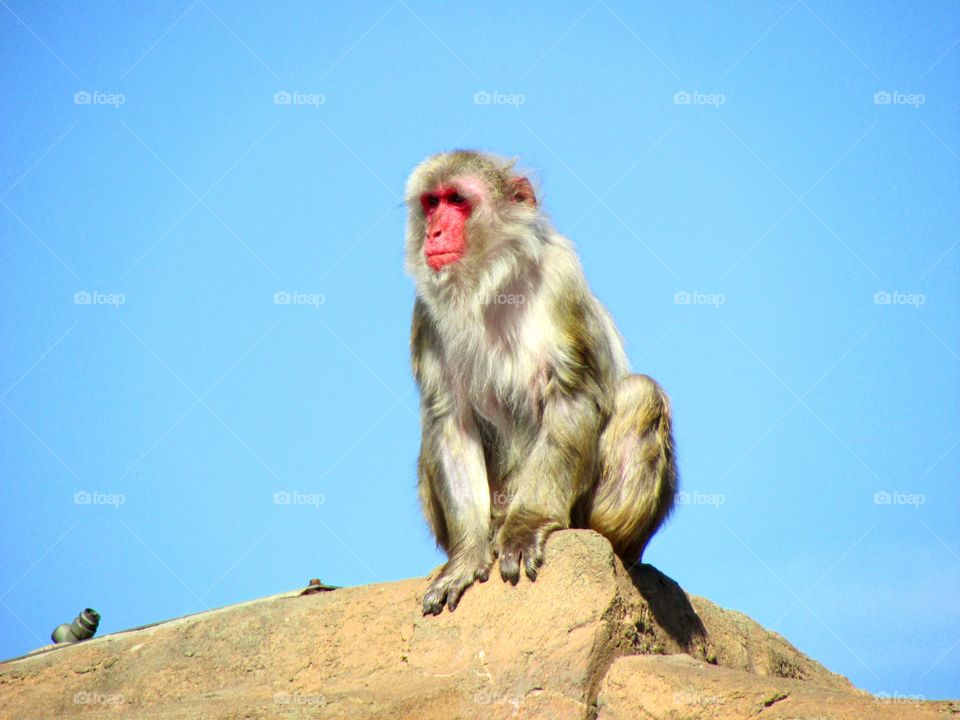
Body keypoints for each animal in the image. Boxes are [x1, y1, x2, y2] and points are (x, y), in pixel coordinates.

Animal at [404, 150, 676, 612]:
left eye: (457, 200)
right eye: (431, 202)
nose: (434, 232)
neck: (490, 286)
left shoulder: (560, 277)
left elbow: (572, 395)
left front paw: (526, 527)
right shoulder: (425, 311)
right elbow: (449, 418)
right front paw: (466, 556)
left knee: (641, 394)